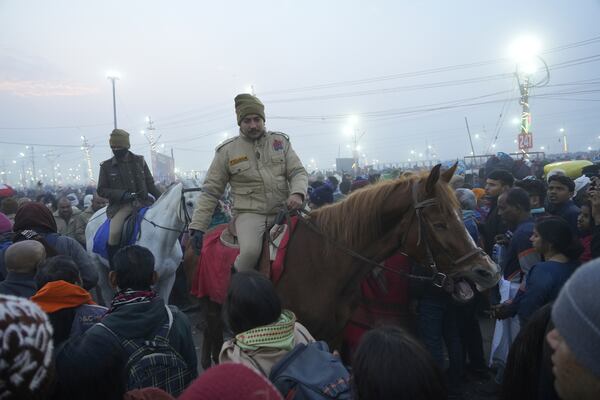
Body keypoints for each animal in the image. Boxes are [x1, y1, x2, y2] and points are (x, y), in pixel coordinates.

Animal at [190, 163, 500, 368]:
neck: (325, 263)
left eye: (459, 213)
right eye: (439, 224)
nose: (488, 271)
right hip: (211, 309)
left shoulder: (335, 334)